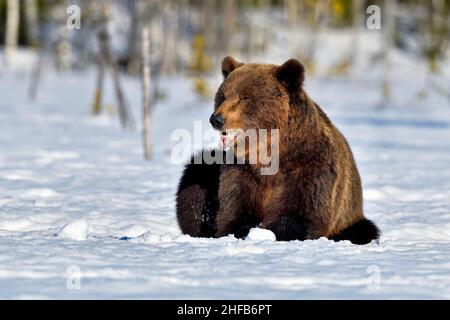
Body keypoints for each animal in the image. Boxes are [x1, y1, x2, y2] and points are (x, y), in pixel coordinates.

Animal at [176, 56, 380, 244]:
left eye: (245, 97)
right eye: (223, 95)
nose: (217, 119)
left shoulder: (309, 170)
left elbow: (298, 216)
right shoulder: (242, 172)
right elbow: (234, 213)